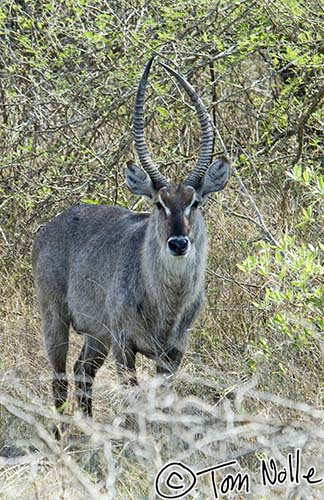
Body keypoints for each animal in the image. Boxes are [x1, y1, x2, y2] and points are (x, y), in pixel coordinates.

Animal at [32, 57, 230, 418]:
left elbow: (161, 404)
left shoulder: (173, 354)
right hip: (55, 320)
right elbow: (133, 404)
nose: (178, 243)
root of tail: (52, 225)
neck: (166, 304)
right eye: (158, 203)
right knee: (59, 380)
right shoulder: (124, 345)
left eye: (195, 202)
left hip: (97, 335)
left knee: (82, 371)